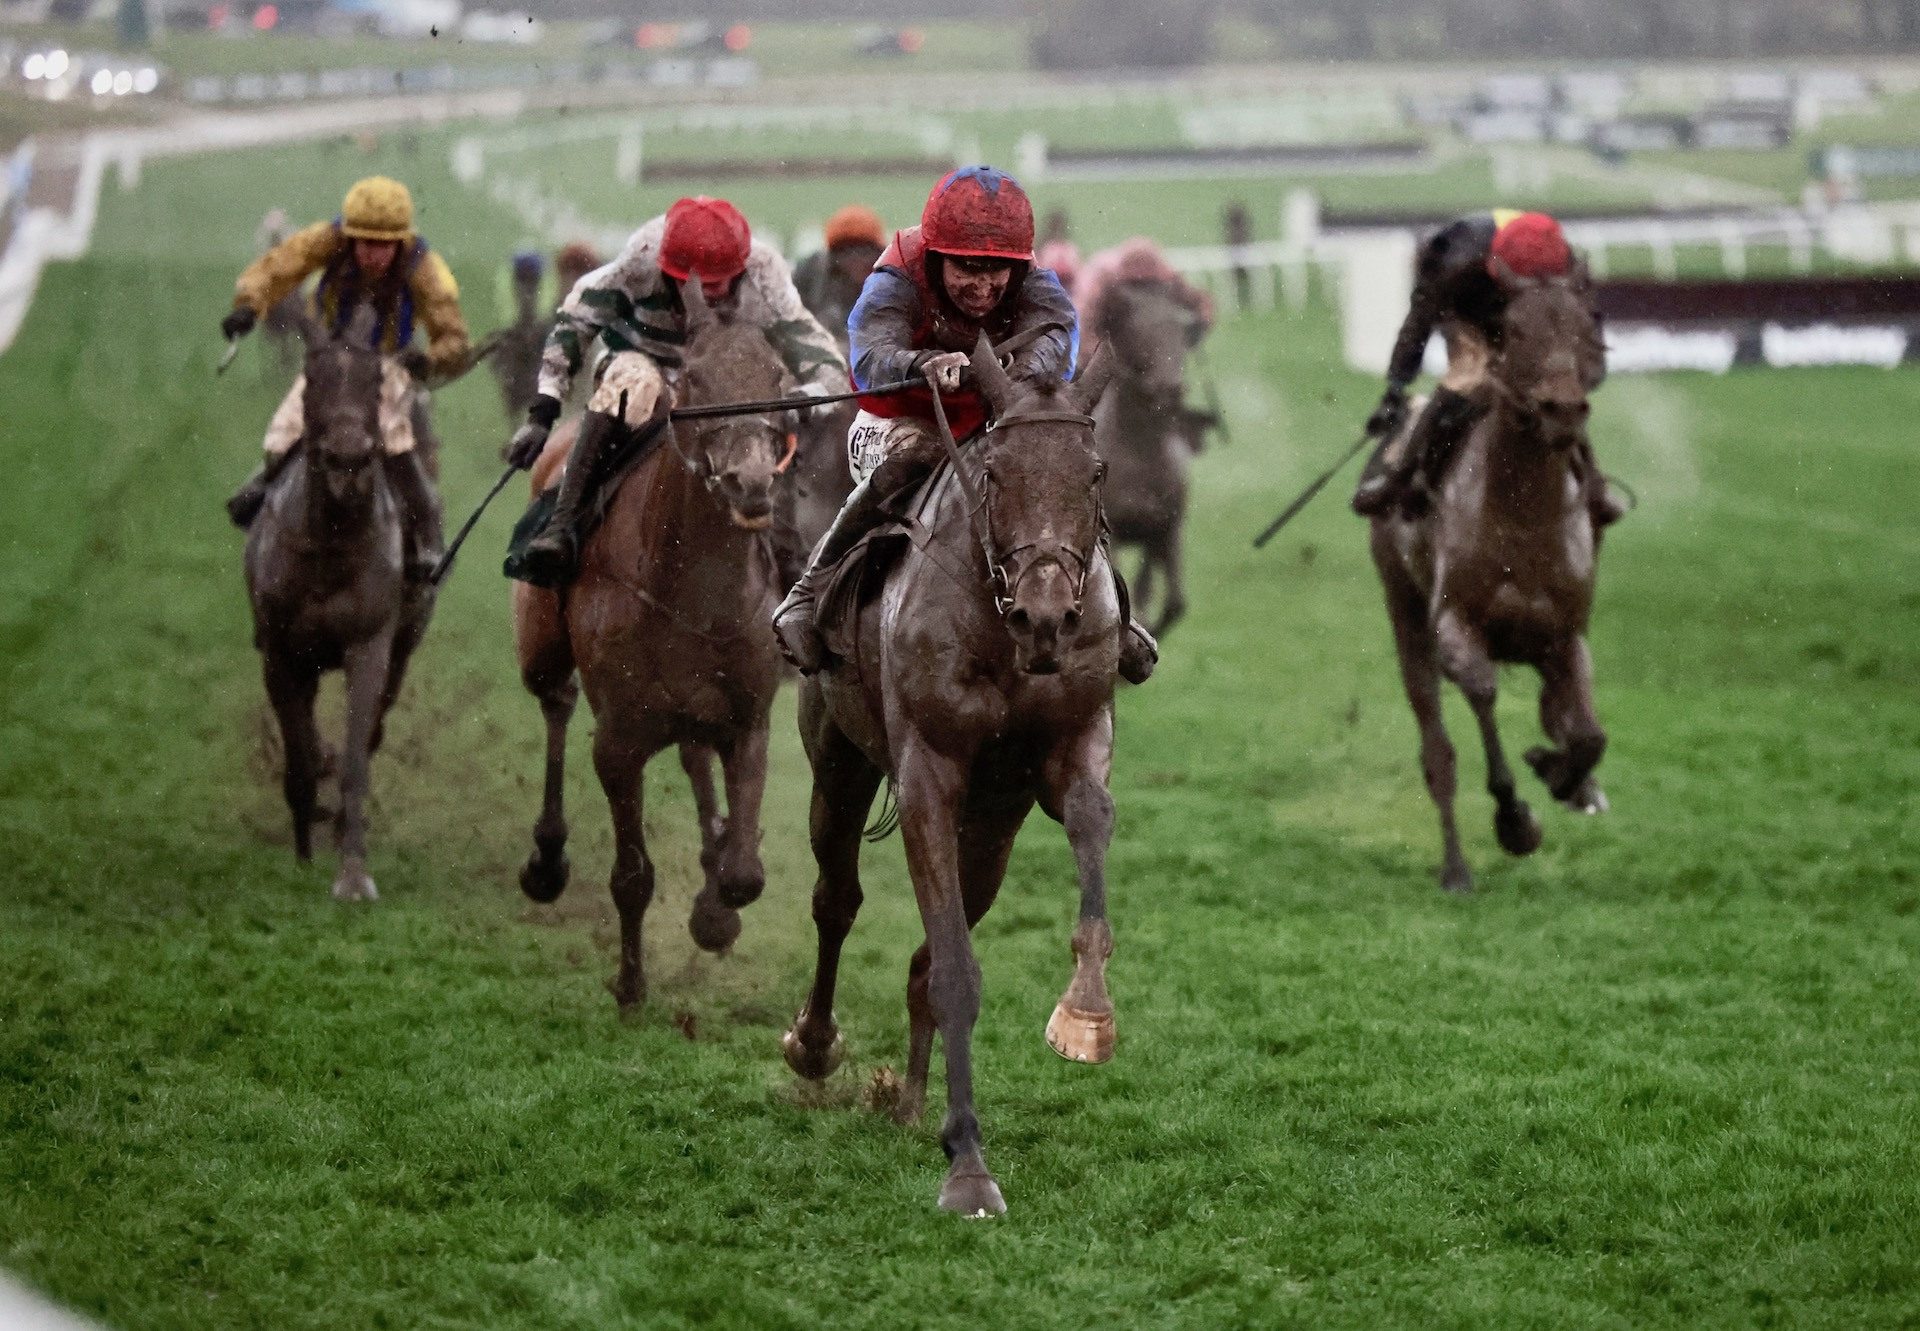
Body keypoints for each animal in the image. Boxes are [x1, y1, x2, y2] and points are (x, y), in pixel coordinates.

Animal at [779, 338, 1121, 1206]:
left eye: (1094, 472)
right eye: (995, 472)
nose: (1047, 616)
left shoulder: (1072, 743)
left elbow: (1091, 820)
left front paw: (1086, 1016)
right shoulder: (928, 773)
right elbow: (956, 973)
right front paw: (969, 1167)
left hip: (993, 827)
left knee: (927, 948)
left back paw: (906, 1099)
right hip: (837, 760)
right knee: (836, 900)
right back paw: (815, 1043)